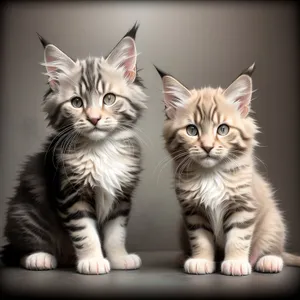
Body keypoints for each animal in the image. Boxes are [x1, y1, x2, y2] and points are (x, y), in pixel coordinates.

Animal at [1, 24, 146, 276]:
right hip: (25, 211)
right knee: (21, 248)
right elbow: (85, 232)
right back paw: (39, 257)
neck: (100, 149)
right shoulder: (71, 193)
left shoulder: (121, 197)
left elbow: (116, 233)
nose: (94, 118)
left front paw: (119, 258)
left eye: (109, 98)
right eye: (77, 103)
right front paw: (93, 261)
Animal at [155, 64, 300, 276]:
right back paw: (184, 257)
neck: (211, 174)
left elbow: (238, 238)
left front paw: (235, 263)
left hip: (273, 222)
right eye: (192, 130)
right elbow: (200, 239)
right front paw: (201, 260)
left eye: (222, 129)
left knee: (276, 251)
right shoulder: (193, 211)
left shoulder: (243, 206)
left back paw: (268, 260)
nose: (207, 147)